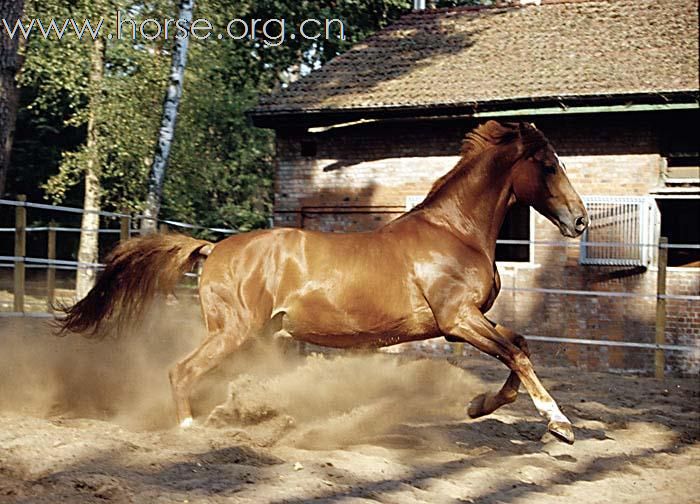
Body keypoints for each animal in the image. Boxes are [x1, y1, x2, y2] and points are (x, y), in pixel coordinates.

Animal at [60, 120, 588, 442]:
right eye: (548, 165)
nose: (580, 220)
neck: (454, 232)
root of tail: (214, 249)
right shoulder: (457, 320)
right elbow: (516, 353)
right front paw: (559, 424)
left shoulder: (469, 322)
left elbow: (518, 345)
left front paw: (480, 405)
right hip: (232, 332)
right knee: (181, 371)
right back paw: (191, 428)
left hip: (258, 338)